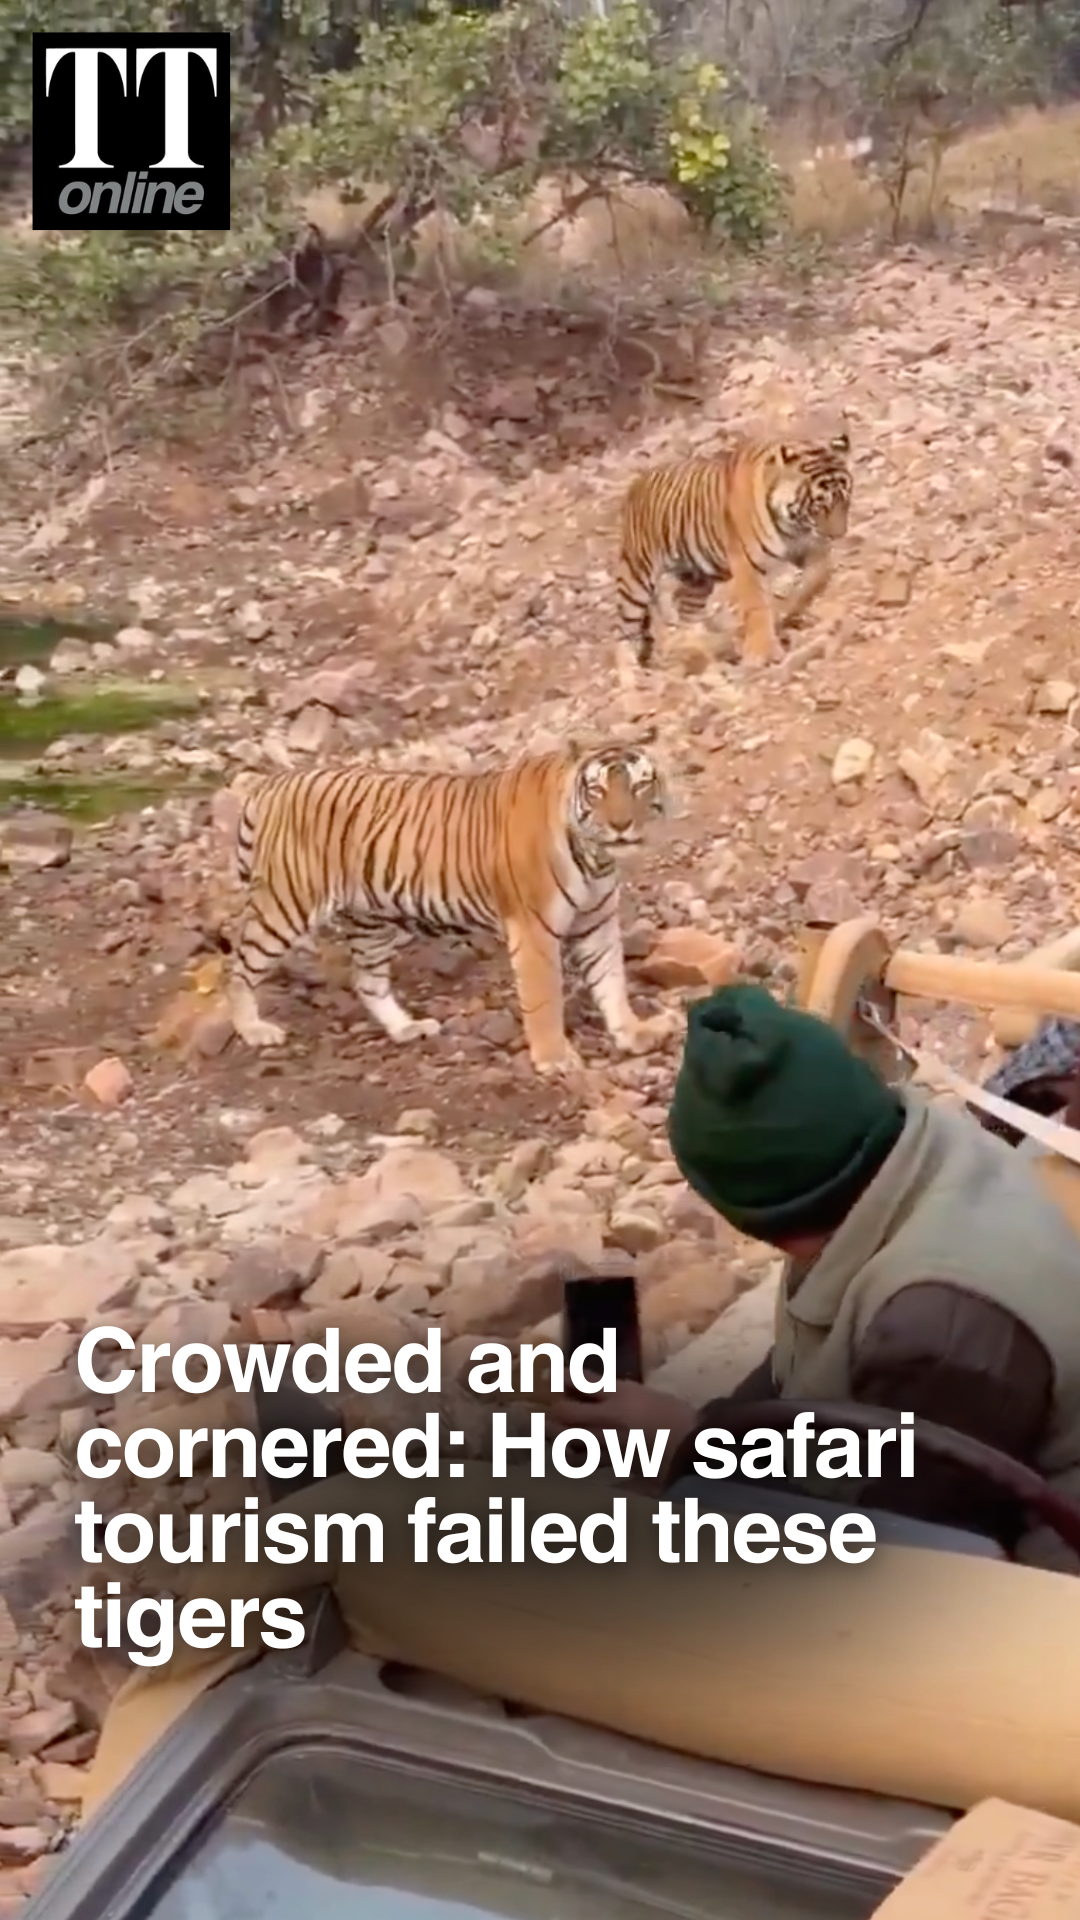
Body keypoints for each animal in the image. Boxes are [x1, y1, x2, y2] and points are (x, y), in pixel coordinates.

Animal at [221, 742, 676, 1077]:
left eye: (639, 787)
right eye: (597, 791)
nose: (621, 825)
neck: (597, 859)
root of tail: (273, 783)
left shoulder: (595, 924)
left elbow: (612, 981)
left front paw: (633, 1032)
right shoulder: (535, 931)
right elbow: (545, 998)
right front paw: (554, 1058)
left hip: (371, 919)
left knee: (368, 981)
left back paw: (407, 1028)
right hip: (287, 905)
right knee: (240, 969)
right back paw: (254, 1030)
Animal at [615, 427, 853, 671]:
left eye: (845, 501)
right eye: (819, 505)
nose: (838, 534)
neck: (793, 524)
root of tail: (637, 483)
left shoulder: (810, 547)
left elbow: (817, 579)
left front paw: (788, 608)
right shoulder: (747, 562)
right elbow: (755, 605)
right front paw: (763, 652)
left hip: (697, 580)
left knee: (686, 611)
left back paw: (698, 644)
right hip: (637, 577)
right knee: (624, 630)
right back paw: (631, 670)